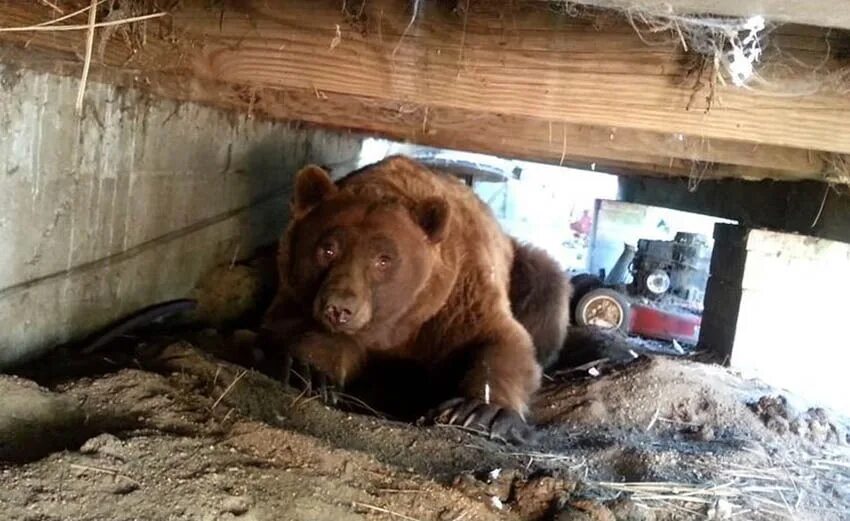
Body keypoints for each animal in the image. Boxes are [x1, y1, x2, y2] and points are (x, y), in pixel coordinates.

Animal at [258, 155, 568, 442]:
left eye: (383, 259)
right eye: (328, 249)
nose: (338, 308)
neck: (399, 323)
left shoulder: (459, 299)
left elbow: (503, 341)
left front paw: (478, 411)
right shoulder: (295, 290)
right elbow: (293, 328)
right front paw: (311, 372)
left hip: (523, 271)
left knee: (547, 286)